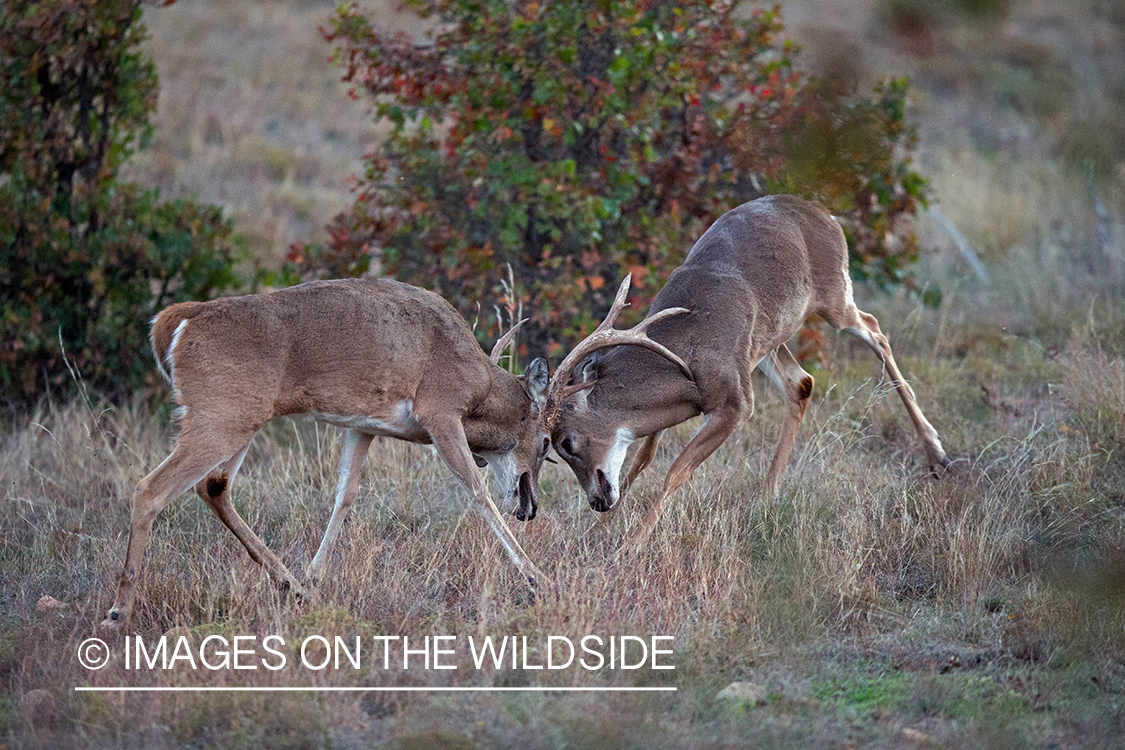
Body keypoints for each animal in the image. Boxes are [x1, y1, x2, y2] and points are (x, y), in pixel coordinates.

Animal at [102, 278, 553, 629]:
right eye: (547, 443)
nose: (530, 506)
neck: (480, 386)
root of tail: (178, 321)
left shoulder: (363, 425)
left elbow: (345, 494)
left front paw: (315, 577)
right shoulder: (440, 412)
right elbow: (477, 491)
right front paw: (539, 579)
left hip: (239, 420)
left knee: (214, 487)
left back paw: (294, 587)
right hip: (218, 418)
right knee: (150, 489)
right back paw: (117, 613)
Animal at [542, 195, 949, 539]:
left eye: (566, 442)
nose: (597, 502)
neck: (683, 358)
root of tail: (827, 214)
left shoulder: (736, 401)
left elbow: (676, 471)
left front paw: (635, 543)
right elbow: (642, 457)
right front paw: (597, 532)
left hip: (834, 296)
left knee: (876, 331)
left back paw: (937, 454)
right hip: (768, 339)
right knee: (801, 382)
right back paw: (767, 500)